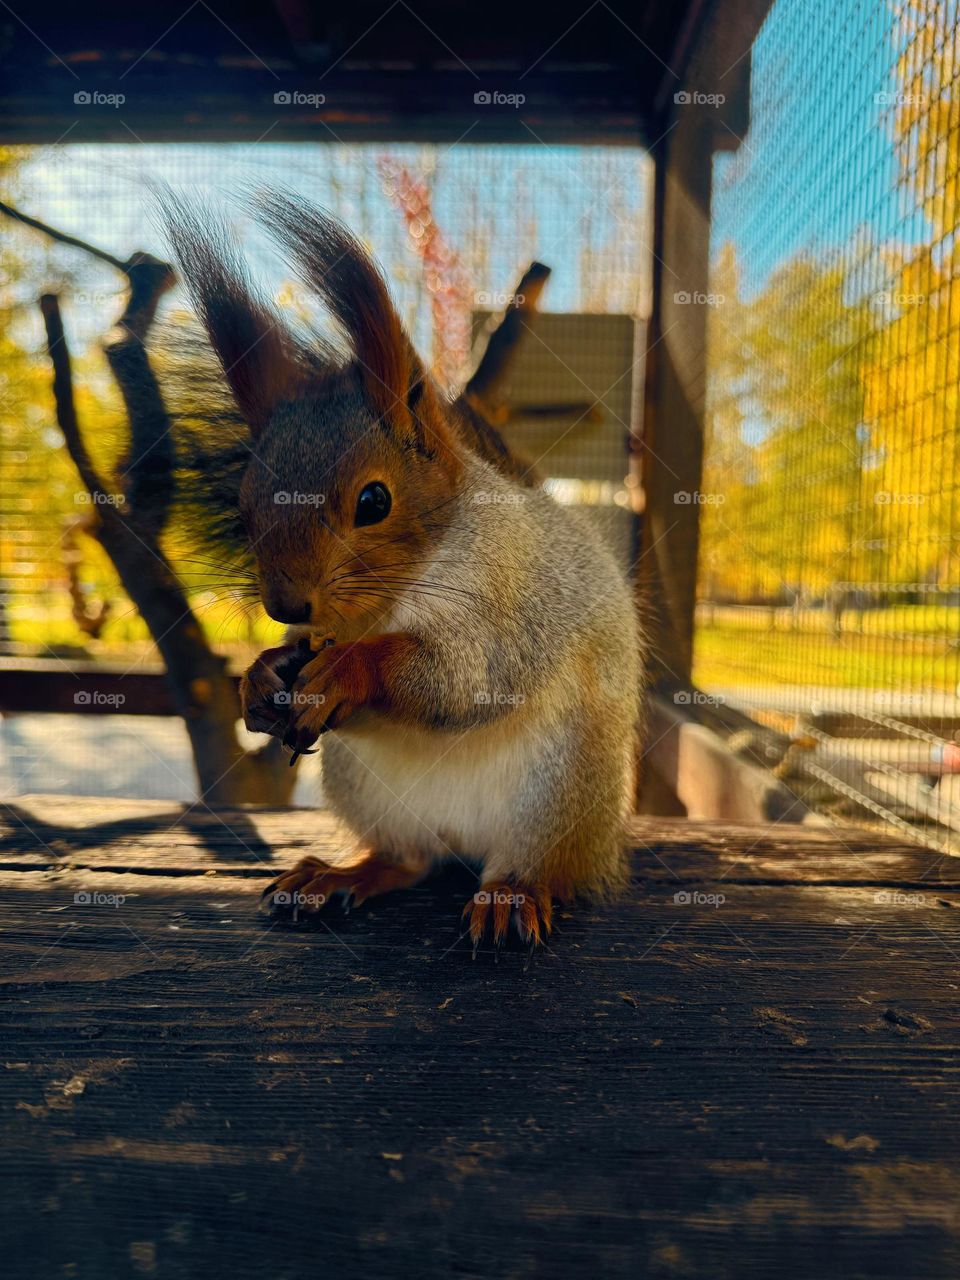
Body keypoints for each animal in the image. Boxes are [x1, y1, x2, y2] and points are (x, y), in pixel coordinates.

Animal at [165, 191, 645, 952]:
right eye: (243, 505)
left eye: (373, 501)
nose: (286, 605)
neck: (394, 601)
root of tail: (467, 845)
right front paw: (261, 676)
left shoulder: (517, 604)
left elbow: (466, 678)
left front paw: (351, 671)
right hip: (371, 792)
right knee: (407, 860)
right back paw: (337, 875)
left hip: (558, 795)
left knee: (539, 866)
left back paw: (511, 895)